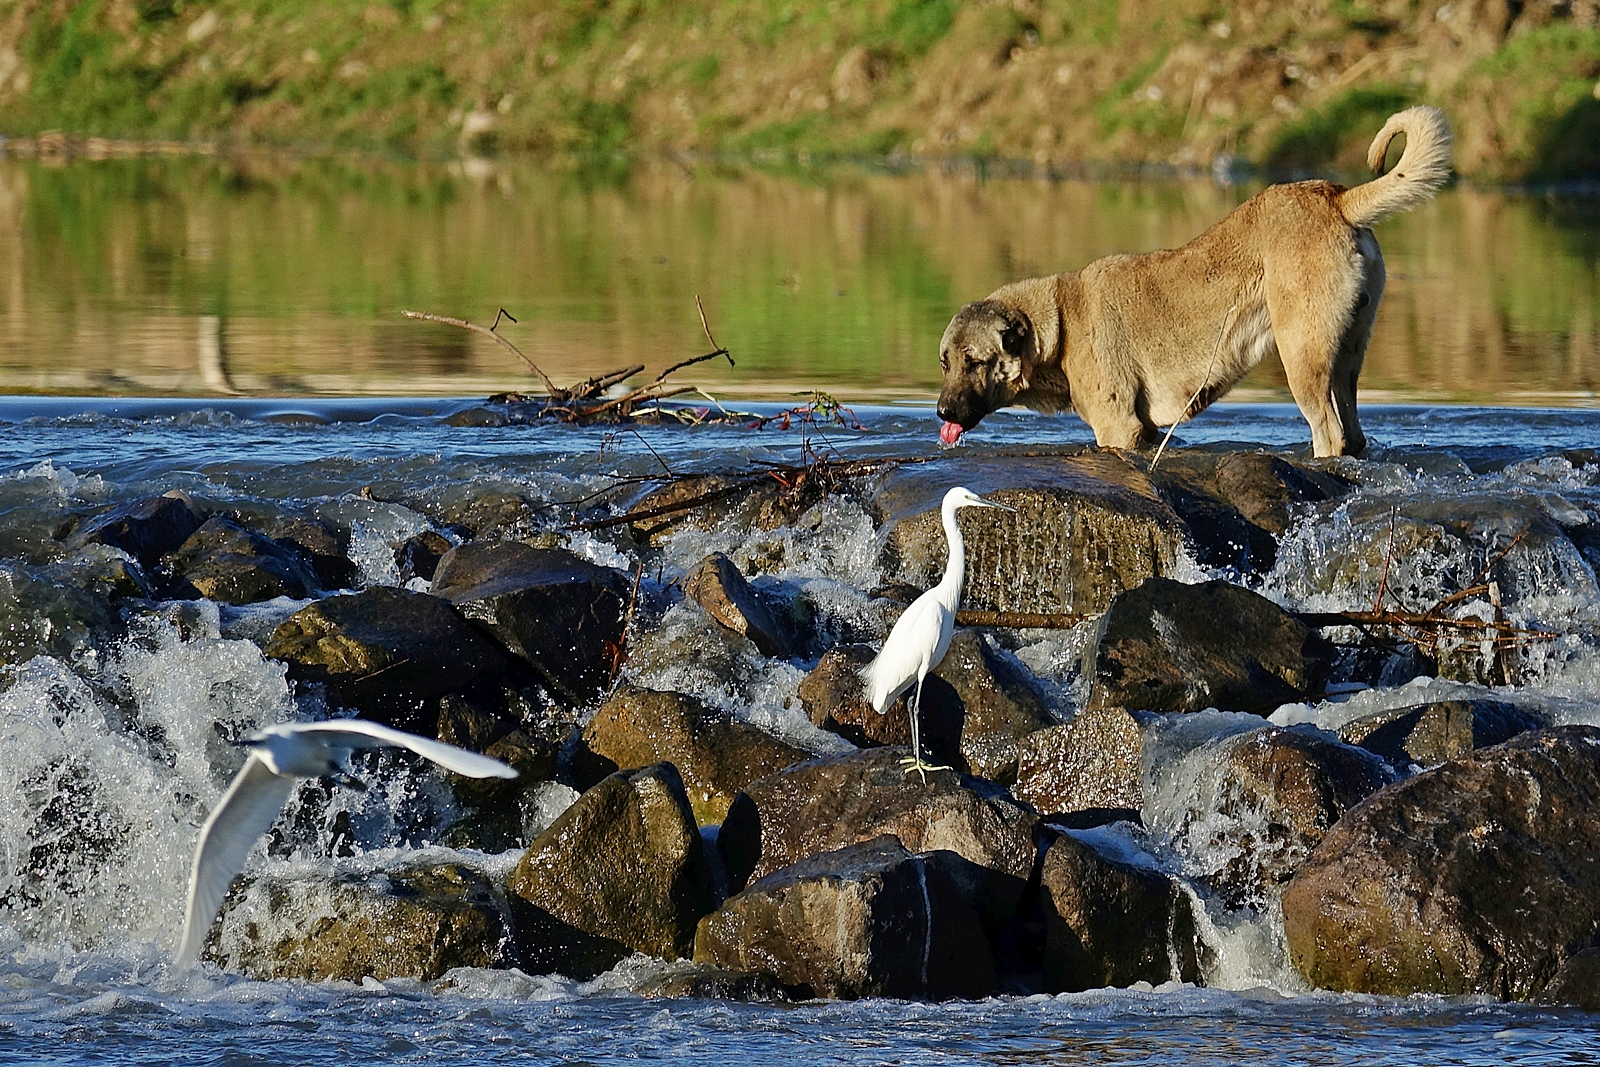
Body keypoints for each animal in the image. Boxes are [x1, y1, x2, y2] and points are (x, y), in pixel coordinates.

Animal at [934, 106, 1452, 457]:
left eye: (974, 361)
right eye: (944, 362)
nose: (941, 414)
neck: (1059, 324)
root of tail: (1335, 197)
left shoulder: (1118, 427)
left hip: (1302, 358)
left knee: (1329, 434)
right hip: (1346, 359)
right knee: (1354, 434)